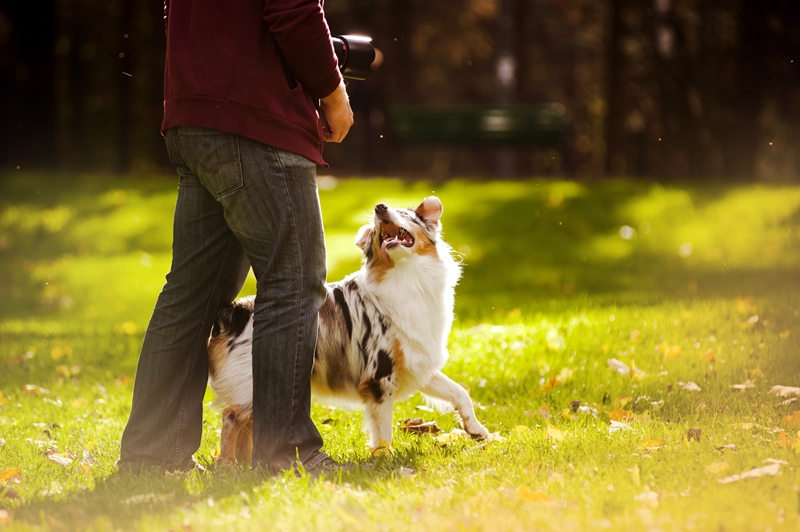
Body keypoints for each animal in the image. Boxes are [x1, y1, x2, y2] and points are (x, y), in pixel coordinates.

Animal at [206, 197, 488, 464]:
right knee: (231, 417)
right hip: (251, 384)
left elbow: (459, 392)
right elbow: (383, 431)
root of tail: (235, 311)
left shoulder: (416, 363)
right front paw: (385, 459)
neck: (408, 276)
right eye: (375, 230)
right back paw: (227, 465)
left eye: (404, 213)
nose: (379, 207)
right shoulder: (379, 378)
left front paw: (476, 429)